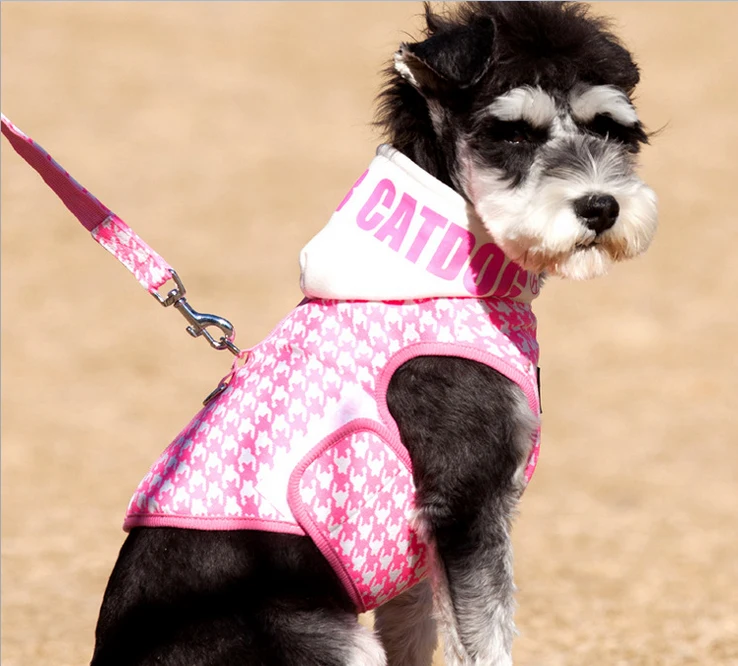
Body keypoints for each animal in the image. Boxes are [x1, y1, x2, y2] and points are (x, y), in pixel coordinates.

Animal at [90, 2, 656, 660]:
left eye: (609, 128)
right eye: (513, 134)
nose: (600, 206)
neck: (454, 278)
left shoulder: (422, 550)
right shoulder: (464, 507)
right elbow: (484, 641)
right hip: (322, 639)